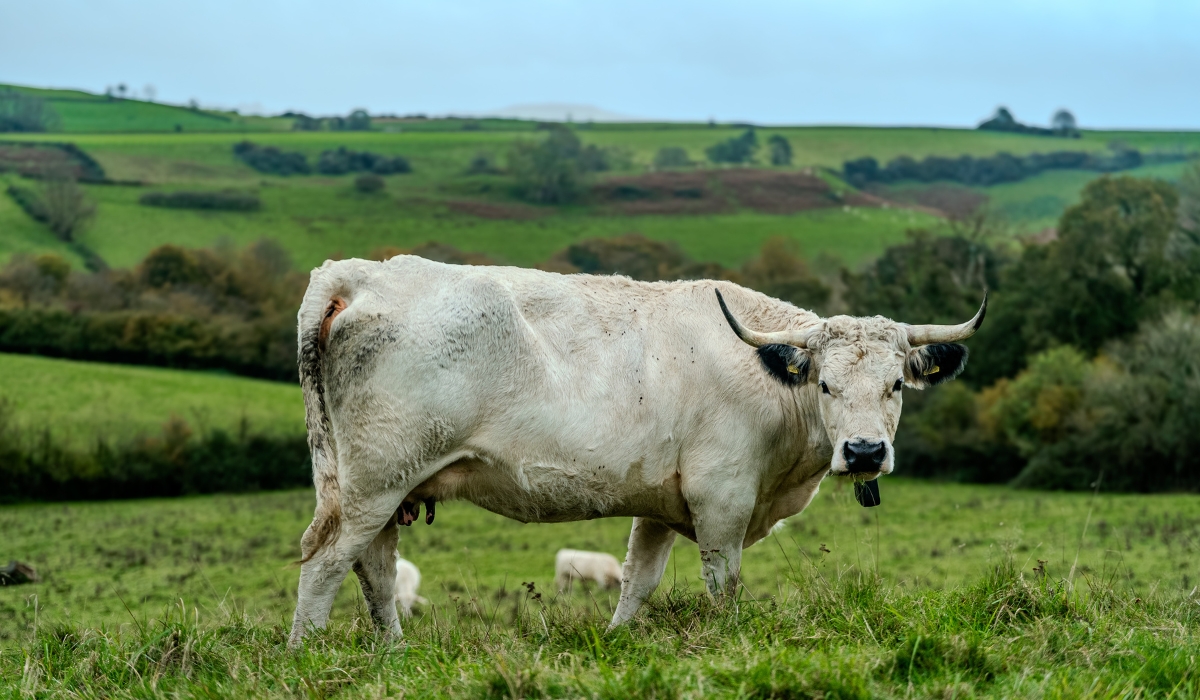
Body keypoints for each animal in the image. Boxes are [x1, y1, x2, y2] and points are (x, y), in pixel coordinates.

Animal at [288, 255, 985, 646]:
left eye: (896, 385)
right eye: (825, 384)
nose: (865, 452)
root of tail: (361, 272)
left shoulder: (659, 501)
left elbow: (639, 581)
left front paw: (618, 641)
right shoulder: (722, 498)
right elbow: (723, 584)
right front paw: (725, 640)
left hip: (386, 487)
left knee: (376, 572)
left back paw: (394, 654)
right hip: (373, 483)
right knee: (326, 564)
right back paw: (305, 654)